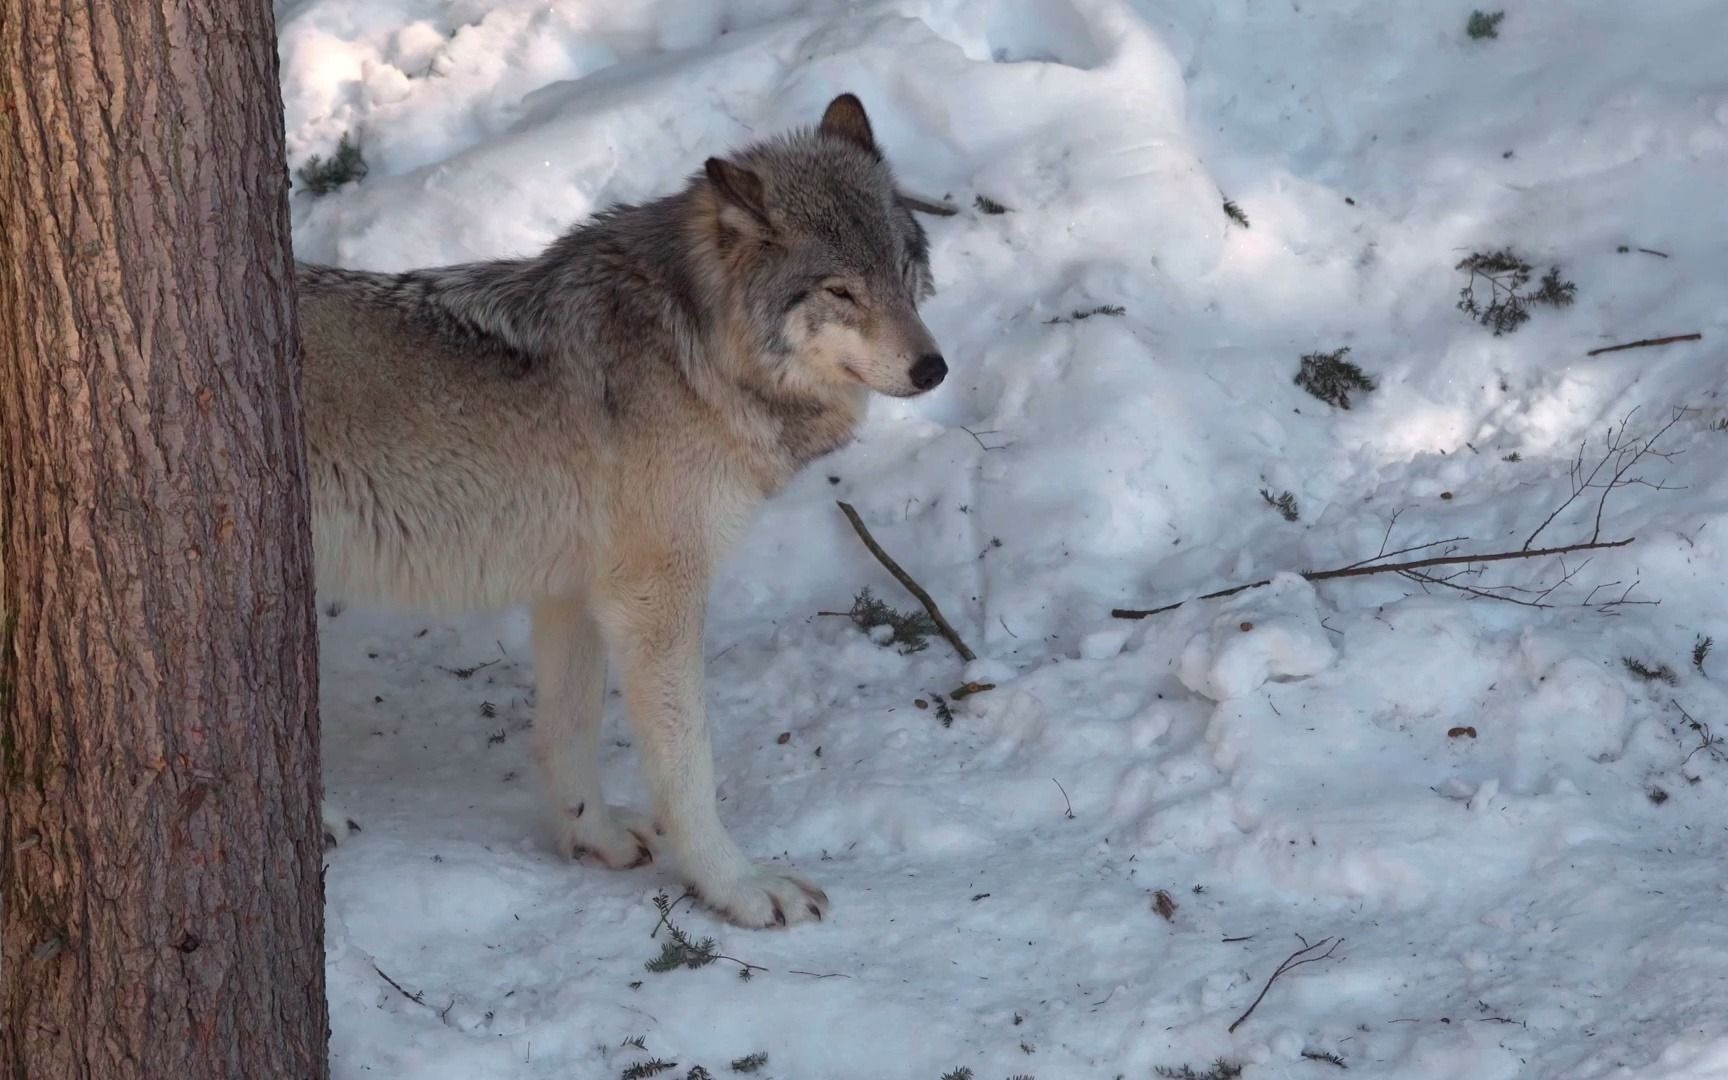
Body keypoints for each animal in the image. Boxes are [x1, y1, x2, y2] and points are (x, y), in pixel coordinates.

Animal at [297, 94, 946, 926]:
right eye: (840, 291)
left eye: (902, 268)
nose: (934, 368)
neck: (698, 350)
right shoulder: (653, 600)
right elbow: (689, 769)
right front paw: (737, 887)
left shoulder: (573, 592)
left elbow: (569, 730)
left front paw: (592, 837)